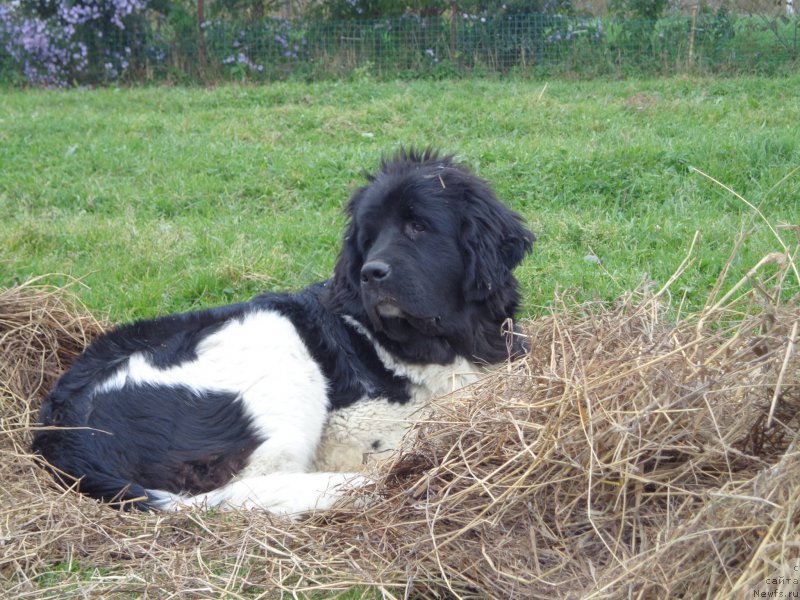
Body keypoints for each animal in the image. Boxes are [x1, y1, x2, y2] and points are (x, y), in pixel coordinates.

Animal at [31, 148, 536, 512]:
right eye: (368, 237)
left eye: (417, 227)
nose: (370, 273)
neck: (439, 340)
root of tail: (62, 431)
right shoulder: (357, 421)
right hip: (273, 339)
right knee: (243, 489)